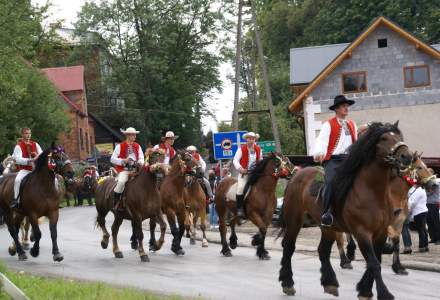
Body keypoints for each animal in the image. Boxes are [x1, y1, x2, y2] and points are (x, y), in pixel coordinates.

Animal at [278, 122, 420, 300]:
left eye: (400, 137)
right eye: (384, 138)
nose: (406, 157)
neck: (372, 191)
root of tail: (297, 175)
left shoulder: (380, 232)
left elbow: (376, 261)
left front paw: (364, 290)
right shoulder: (362, 232)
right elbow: (374, 263)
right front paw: (384, 293)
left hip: (327, 228)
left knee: (323, 250)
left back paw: (330, 283)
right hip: (294, 220)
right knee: (289, 247)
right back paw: (287, 283)